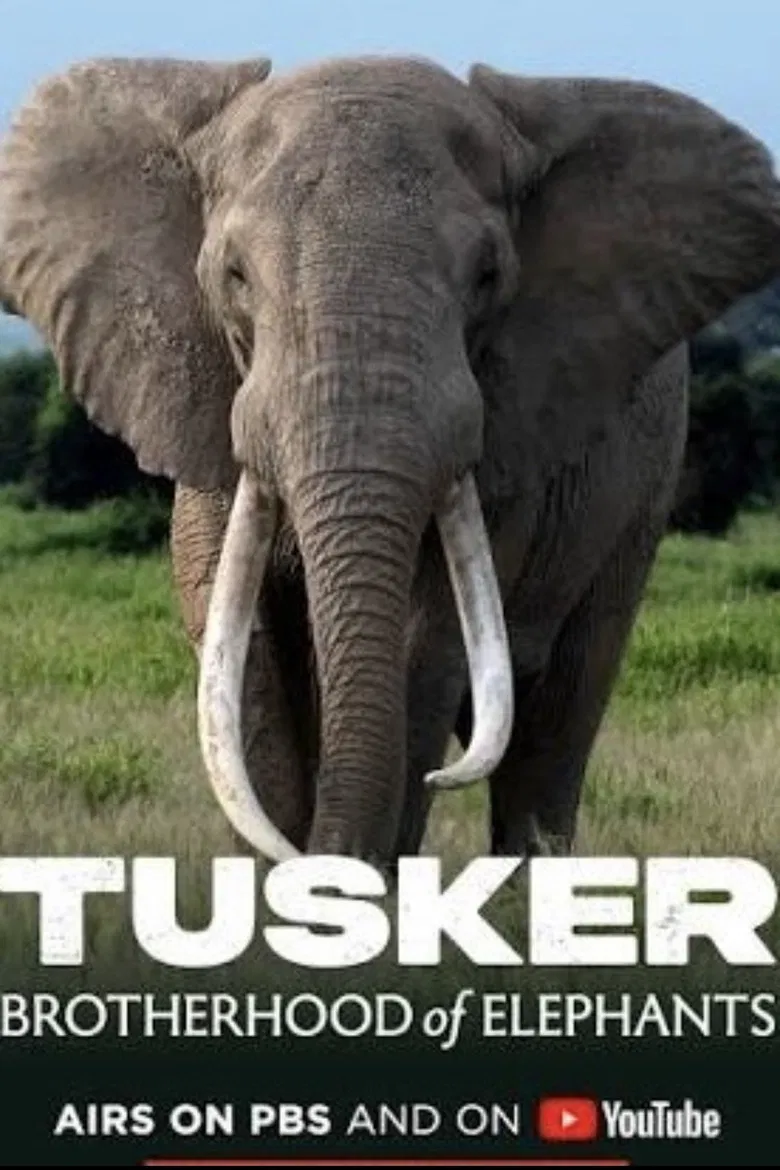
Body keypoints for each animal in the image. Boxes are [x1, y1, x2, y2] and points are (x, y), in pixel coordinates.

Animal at [0, 54, 778, 868]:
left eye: (487, 277)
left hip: (642, 494)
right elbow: (239, 647)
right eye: (233, 276)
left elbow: (422, 646)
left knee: (557, 721)